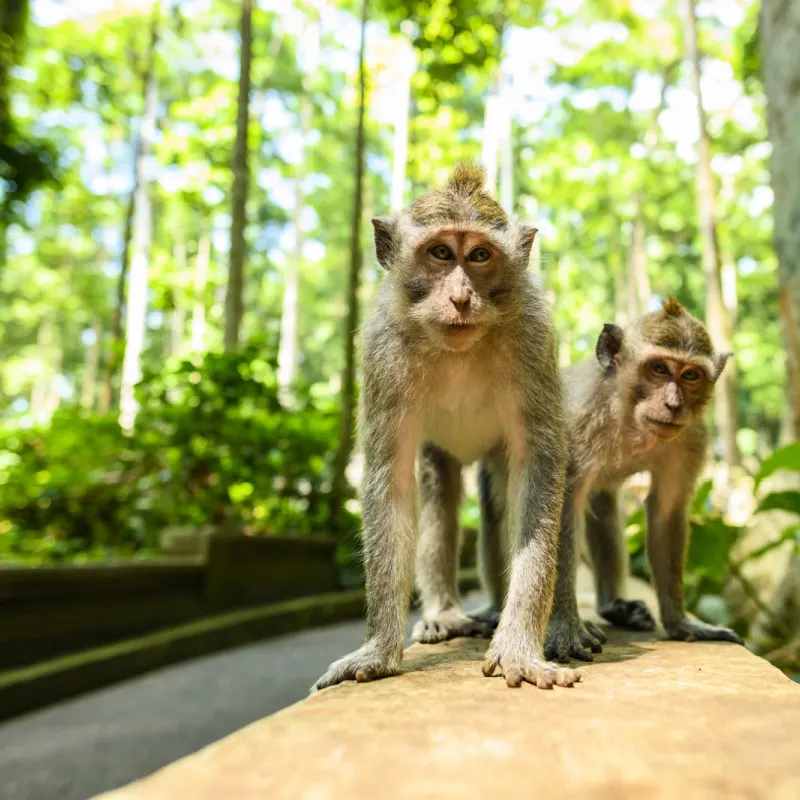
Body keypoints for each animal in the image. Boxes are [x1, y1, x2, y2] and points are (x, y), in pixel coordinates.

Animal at [312, 163, 580, 691]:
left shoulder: (534, 336)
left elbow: (538, 467)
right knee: (439, 488)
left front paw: (518, 644)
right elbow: (390, 481)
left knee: (498, 498)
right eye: (440, 253)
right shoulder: (382, 349)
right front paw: (378, 648)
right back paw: (445, 614)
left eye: (479, 255)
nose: (460, 297)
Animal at [543, 298, 745, 663]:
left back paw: (613, 607)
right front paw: (564, 627)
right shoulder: (577, 423)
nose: (673, 404)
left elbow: (667, 512)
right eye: (659, 368)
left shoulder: (691, 439)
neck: (630, 418)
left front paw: (681, 622)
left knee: (603, 508)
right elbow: (561, 506)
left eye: (691, 375)